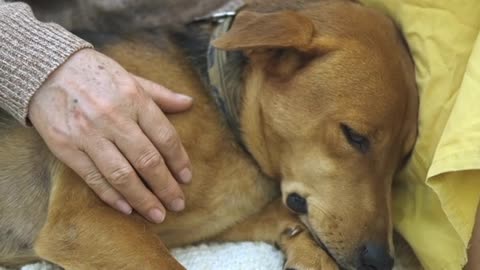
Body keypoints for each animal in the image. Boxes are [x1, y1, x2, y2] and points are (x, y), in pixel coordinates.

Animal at [0, 1, 418, 268]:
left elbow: (287, 215)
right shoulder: (87, 221)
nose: (381, 261)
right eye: (354, 136)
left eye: (403, 160)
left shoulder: (221, 222)